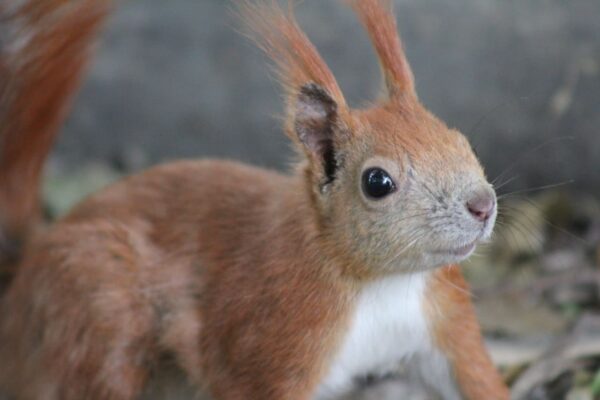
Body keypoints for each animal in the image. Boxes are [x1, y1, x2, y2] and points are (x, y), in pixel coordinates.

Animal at [0, 0, 510, 400]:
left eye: (460, 140)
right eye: (377, 182)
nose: (482, 205)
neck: (382, 282)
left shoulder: (446, 318)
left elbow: (477, 380)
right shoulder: (271, 340)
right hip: (97, 316)